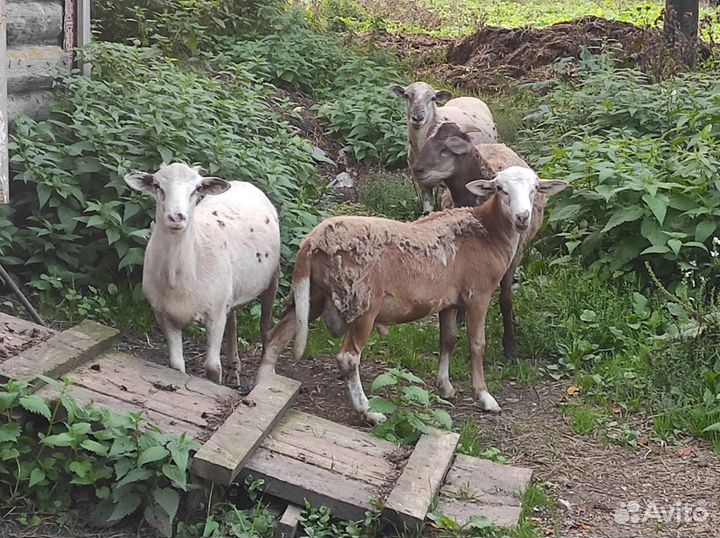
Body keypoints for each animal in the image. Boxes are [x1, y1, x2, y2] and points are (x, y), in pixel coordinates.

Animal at [124, 162, 280, 385]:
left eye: (197, 189)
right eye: (157, 185)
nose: (176, 217)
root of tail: (244, 183)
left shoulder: (215, 315)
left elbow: (212, 368)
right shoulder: (165, 316)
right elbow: (176, 365)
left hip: (272, 279)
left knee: (265, 325)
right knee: (233, 322)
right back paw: (233, 370)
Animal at [255, 166, 567, 424]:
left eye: (535, 189)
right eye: (501, 189)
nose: (523, 218)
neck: (489, 232)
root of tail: (313, 241)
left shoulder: (448, 299)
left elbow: (448, 339)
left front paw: (445, 387)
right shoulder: (478, 294)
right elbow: (477, 344)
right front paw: (484, 397)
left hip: (315, 294)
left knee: (276, 338)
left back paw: (263, 389)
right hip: (362, 300)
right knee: (348, 358)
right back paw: (368, 412)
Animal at [389, 81, 498, 214]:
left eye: (433, 98)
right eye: (406, 95)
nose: (418, 118)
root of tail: (468, 96)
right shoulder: (423, 185)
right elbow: (428, 211)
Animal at [412, 122, 547, 360]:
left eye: (446, 149)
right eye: (429, 141)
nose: (417, 169)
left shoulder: (513, 256)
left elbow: (506, 299)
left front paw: (510, 347)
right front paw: (459, 318)